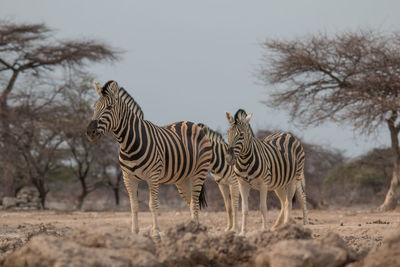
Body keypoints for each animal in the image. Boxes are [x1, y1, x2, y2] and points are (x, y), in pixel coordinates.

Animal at [86, 80, 212, 240]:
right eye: (94, 107)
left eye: (109, 107)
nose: (89, 132)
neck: (129, 144)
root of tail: (192, 124)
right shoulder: (128, 177)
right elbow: (134, 205)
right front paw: (134, 233)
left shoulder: (153, 176)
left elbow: (153, 205)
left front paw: (156, 233)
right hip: (183, 179)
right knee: (190, 203)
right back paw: (192, 230)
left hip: (199, 172)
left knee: (195, 203)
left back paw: (196, 232)